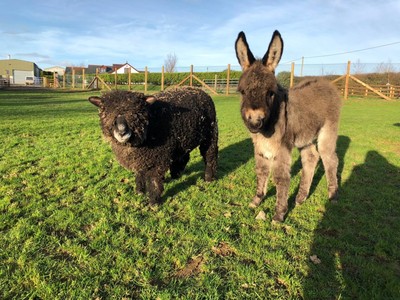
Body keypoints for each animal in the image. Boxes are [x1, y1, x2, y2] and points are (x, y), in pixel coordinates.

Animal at [88, 86, 219, 204]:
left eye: (137, 114)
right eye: (106, 113)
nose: (121, 132)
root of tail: (200, 90)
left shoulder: (158, 159)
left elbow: (154, 181)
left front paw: (153, 202)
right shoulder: (140, 158)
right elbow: (140, 174)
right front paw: (139, 191)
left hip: (210, 135)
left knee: (210, 156)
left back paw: (208, 178)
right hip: (183, 140)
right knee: (184, 156)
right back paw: (176, 174)